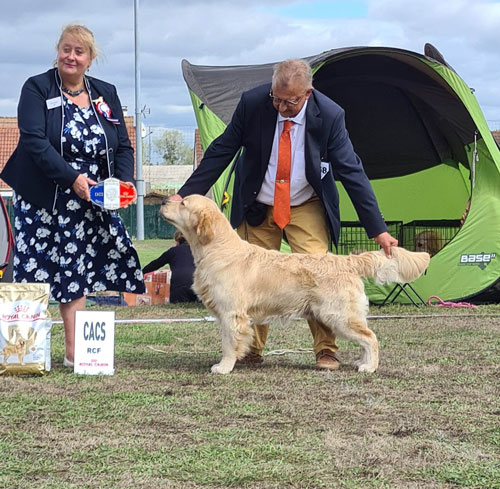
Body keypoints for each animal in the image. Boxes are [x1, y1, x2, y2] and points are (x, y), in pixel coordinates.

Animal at [160, 194, 430, 374]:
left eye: (183, 203)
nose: (163, 202)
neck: (217, 248)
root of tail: (346, 260)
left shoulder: (231, 313)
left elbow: (228, 343)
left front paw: (224, 367)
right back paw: (362, 362)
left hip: (338, 315)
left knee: (370, 337)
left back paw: (369, 367)